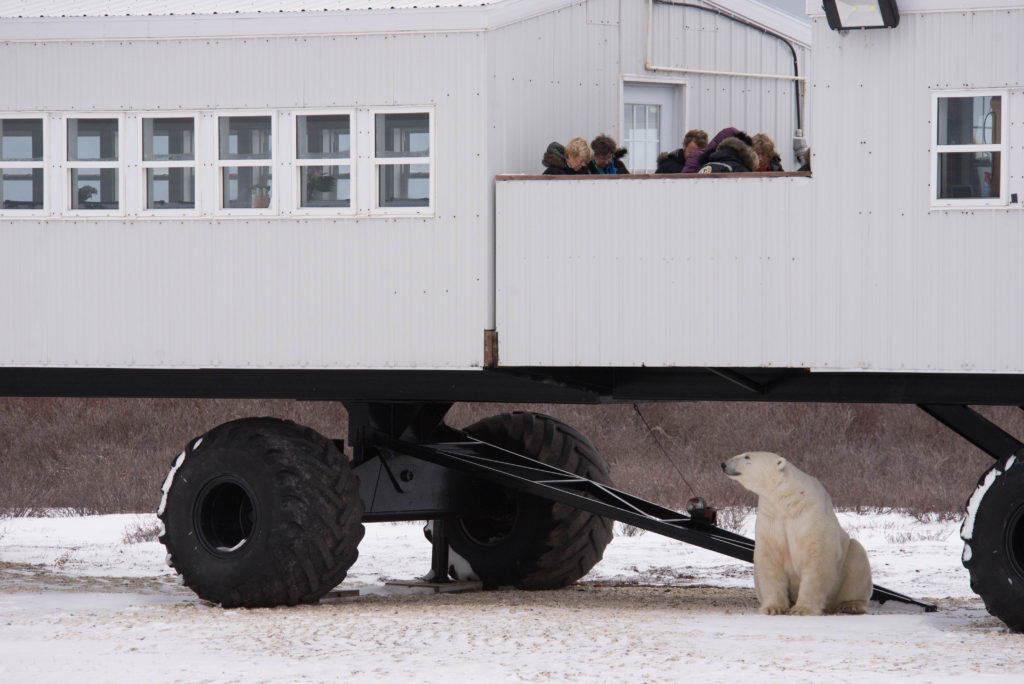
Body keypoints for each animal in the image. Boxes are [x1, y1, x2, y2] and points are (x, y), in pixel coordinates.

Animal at [721, 451, 873, 616]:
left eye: (747, 456)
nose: (723, 464)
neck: (789, 500)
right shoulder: (770, 517)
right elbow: (770, 558)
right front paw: (774, 608)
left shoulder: (810, 514)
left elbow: (816, 557)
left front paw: (802, 609)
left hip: (846, 563)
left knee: (857, 560)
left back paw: (851, 605)